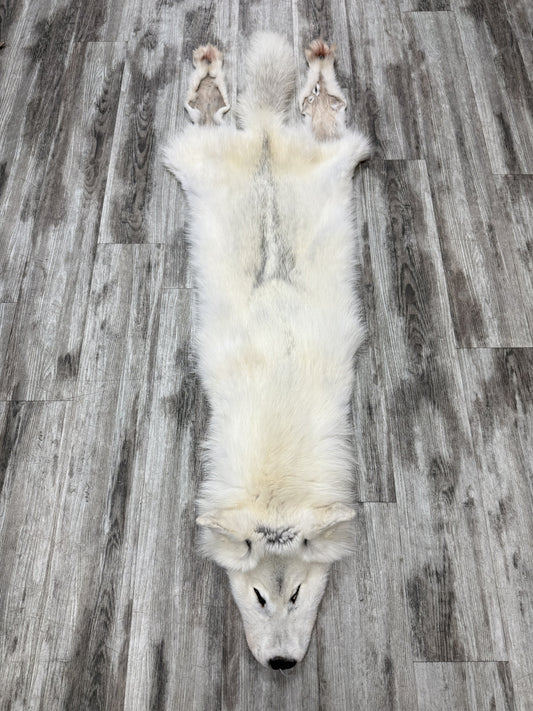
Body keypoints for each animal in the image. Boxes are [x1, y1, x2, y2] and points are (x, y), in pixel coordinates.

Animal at [163, 32, 370, 670]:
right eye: (258, 597)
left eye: (297, 592)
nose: (281, 664)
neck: (277, 488)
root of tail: (264, 134)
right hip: (199, 160)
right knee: (210, 116)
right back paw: (214, 77)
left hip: (328, 157)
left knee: (321, 114)